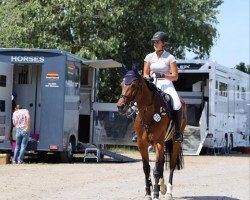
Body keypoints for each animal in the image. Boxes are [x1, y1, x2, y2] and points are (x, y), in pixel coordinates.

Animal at [116, 65, 186, 198]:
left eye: (134, 85)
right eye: (121, 84)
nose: (120, 106)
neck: (149, 113)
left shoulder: (158, 143)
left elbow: (156, 169)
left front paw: (155, 194)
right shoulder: (142, 144)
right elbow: (146, 168)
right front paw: (149, 192)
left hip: (175, 142)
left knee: (172, 165)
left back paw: (168, 192)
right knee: (162, 162)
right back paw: (161, 187)